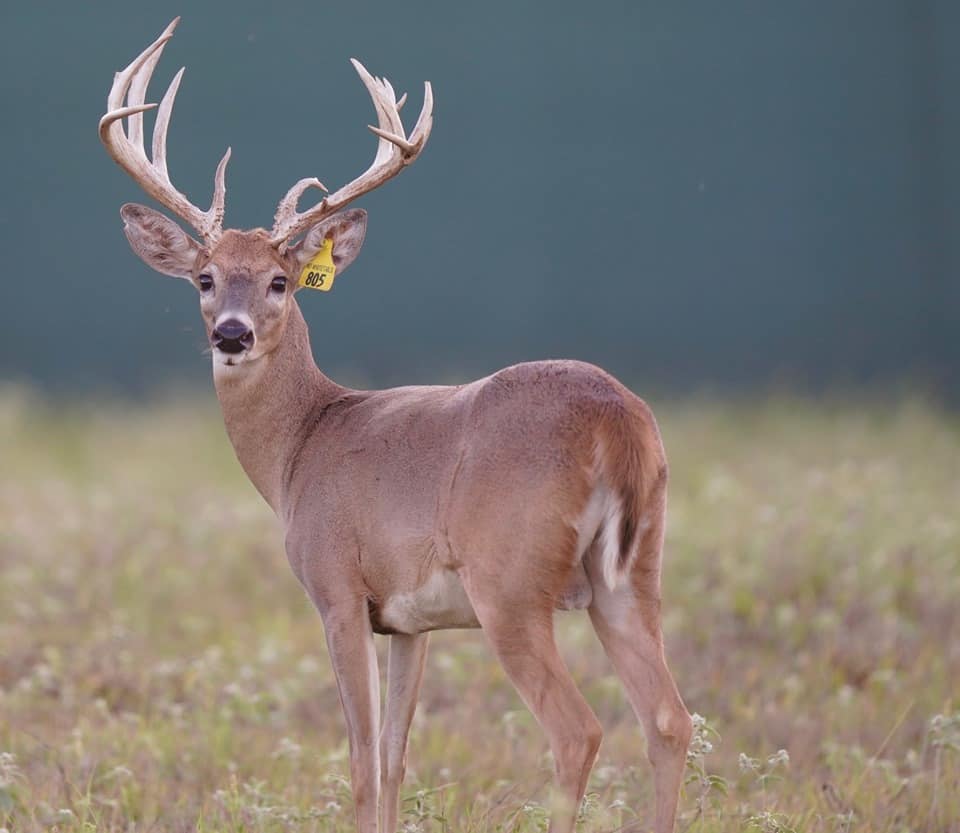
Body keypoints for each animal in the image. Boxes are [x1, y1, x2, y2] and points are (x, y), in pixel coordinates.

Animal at [99, 18, 693, 833]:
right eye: (204, 277)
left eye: (282, 281)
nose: (230, 334)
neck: (301, 445)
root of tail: (617, 421)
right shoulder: (411, 621)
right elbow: (394, 758)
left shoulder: (337, 586)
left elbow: (359, 760)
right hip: (634, 571)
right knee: (668, 718)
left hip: (510, 579)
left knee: (578, 729)